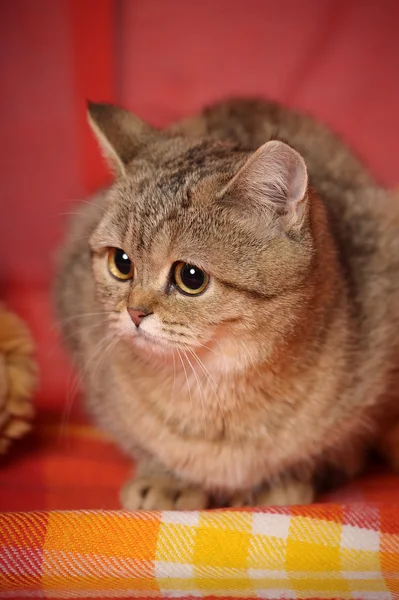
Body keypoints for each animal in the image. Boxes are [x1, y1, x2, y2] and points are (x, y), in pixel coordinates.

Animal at [54, 99, 399, 510]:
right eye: (121, 263)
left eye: (190, 277)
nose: (134, 313)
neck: (216, 385)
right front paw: (167, 478)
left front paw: (281, 480)